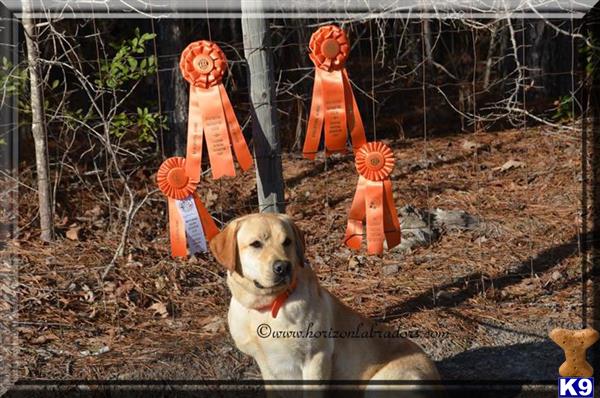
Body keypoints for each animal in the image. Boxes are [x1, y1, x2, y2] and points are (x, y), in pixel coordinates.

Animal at [211, 213, 440, 394]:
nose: (283, 267)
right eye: (256, 244)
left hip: (382, 384)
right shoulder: (268, 368)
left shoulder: (316, 358)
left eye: (287, 241)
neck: (269, 305)